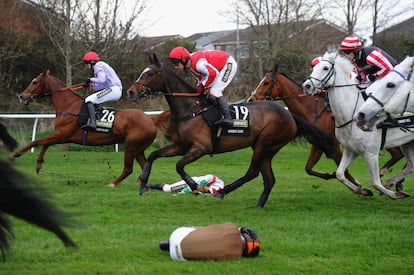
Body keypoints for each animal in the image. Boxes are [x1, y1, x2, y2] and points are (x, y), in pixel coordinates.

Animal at [11, 70, 157, 188]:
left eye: (34, 82)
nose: (21, 96)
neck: (69, 106)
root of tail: (151, 121)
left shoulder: (62, 134)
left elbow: (36, 142)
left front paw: (14, 156)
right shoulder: (63, 136)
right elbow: (45, 143)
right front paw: (39, 164)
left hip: (131, 145)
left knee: (128, 169)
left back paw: (112, 184)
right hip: (138, 149)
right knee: (145, 165)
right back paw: (140, 183)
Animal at [128, 55, 342, 208]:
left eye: (149, 74)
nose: (130, 92)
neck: (191, 108)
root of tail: (289, 115)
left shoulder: (201, 148)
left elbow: (179, 166)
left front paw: (197, 187)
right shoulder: (181, 146)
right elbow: (153, 156)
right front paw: (143, 185)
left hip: (265, 144)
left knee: (252, 173)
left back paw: (221, 192)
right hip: (265, 148)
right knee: (268, 179)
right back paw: (257, 205)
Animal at [247, 63, 402, 183]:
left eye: (266, 82)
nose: (251, 99)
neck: (312, 110)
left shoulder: (334, 145)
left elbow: (344, 170)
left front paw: (358, 186)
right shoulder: (317, 144)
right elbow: (308, 169)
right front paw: (330, 175)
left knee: (398, 154)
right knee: (398, 154)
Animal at [300, 51, 414, 199]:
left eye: (325, 68)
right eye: (313, 68)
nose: (306, 86)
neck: (350, 115)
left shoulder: (371, 153)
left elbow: (375, 182)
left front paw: (393, 195)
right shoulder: (351, 150)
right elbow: (340, 174)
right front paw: (363, 190)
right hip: (407, 143)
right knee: (411, 166)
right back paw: (395, 183)